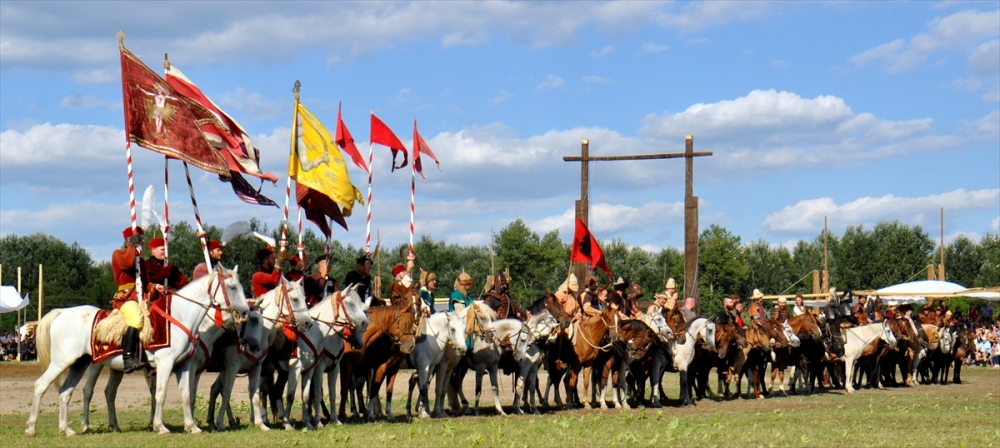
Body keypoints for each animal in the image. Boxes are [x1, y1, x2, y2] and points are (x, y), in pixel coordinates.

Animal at [26, 268, 249, 436]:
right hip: (62, 363)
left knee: (66, 392)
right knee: (42, 386)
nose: (246, 312)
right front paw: (160, 426)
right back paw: (31, 428)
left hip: (79, 363)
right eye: (232, 287)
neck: (179, 317)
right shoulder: (165, 364)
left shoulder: (185, 366)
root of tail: (61, 312)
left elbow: (186, 394)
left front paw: (191, 426)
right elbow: (160, 393)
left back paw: (67, 429)